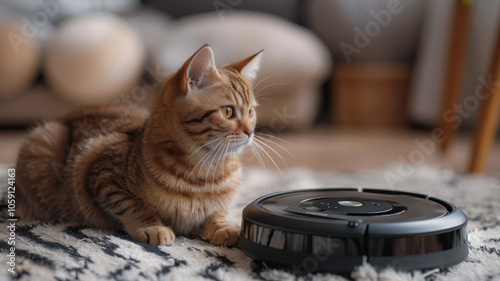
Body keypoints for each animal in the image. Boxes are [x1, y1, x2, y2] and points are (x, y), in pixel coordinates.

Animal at [15, 44, 262, 244]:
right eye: (228, 111)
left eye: (251, 111)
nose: (250, 131)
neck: (205, 172)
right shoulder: (101, 173)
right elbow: (131, 204)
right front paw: (151, 226)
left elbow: (217, 212)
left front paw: (223, 226)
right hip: (46, 141)